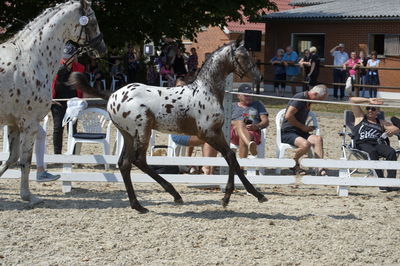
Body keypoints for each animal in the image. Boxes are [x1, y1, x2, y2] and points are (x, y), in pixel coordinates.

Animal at [0, 0, 106, 206]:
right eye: (92, 21)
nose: (102, 49)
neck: (30, 60)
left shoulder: (14, 124)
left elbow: (11, 159)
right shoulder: (29, 124)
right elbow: (25, 161)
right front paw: (28, 196)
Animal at [70, 37, 268, 213]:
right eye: (243, 56)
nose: (259, 77)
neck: (206, 91)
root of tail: (112, 95)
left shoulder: (217, 132)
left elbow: (231, 158)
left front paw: (249, 195)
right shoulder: (208, 134)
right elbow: (230, 156)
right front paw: (233, 196)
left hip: (128, 135)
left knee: (124, 164)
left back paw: (139, 205)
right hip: (143, 131)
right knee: (138, 161)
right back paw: (172, 195)